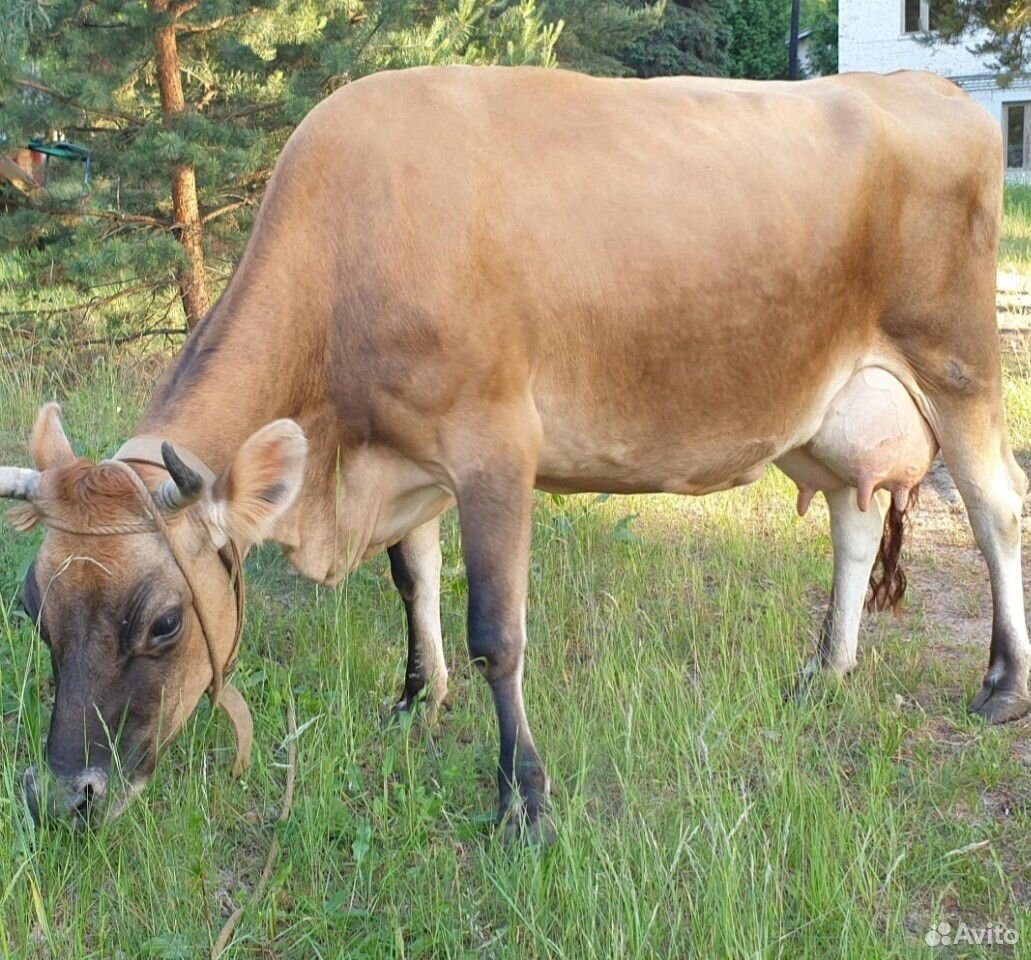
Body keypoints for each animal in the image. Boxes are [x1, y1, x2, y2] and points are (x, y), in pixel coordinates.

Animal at [0, 65, 1022, 841]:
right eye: (34, 610)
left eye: (165, 622)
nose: (61, 799)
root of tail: (922, 84)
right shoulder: (408, 457)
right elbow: (412, 579)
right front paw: (416, 700)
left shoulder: (493, 444)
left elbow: (498, 631)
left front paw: (522, 798)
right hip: (836, 411)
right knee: (853, 523)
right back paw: (826, 670)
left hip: (957, 361)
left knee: (993, 506)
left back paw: (1001, 684)